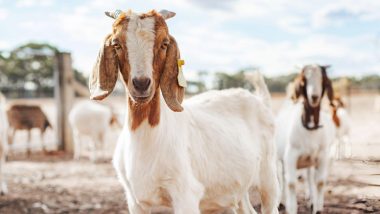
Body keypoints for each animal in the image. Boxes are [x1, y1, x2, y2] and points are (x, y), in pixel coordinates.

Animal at [89, 9, 280, 213]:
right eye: (116, 43)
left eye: (164, 43)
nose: (141, 84)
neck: (147, 136)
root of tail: (260, 100)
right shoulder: (135, 201)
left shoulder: (185, 194)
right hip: (238, 186)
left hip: (268, 177)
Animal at [276, 64, 336, 213]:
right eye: (304, 81)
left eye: (323, 80)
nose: (314, 97)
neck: (310, 128)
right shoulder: (290, 156)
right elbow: (291, 183)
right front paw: (291, 208)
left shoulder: (322, 156)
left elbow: (319, 182)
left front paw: (317, 208)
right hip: (279, 158)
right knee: (282, 177)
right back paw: (281, 201)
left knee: (309, 178)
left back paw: (312, 200)